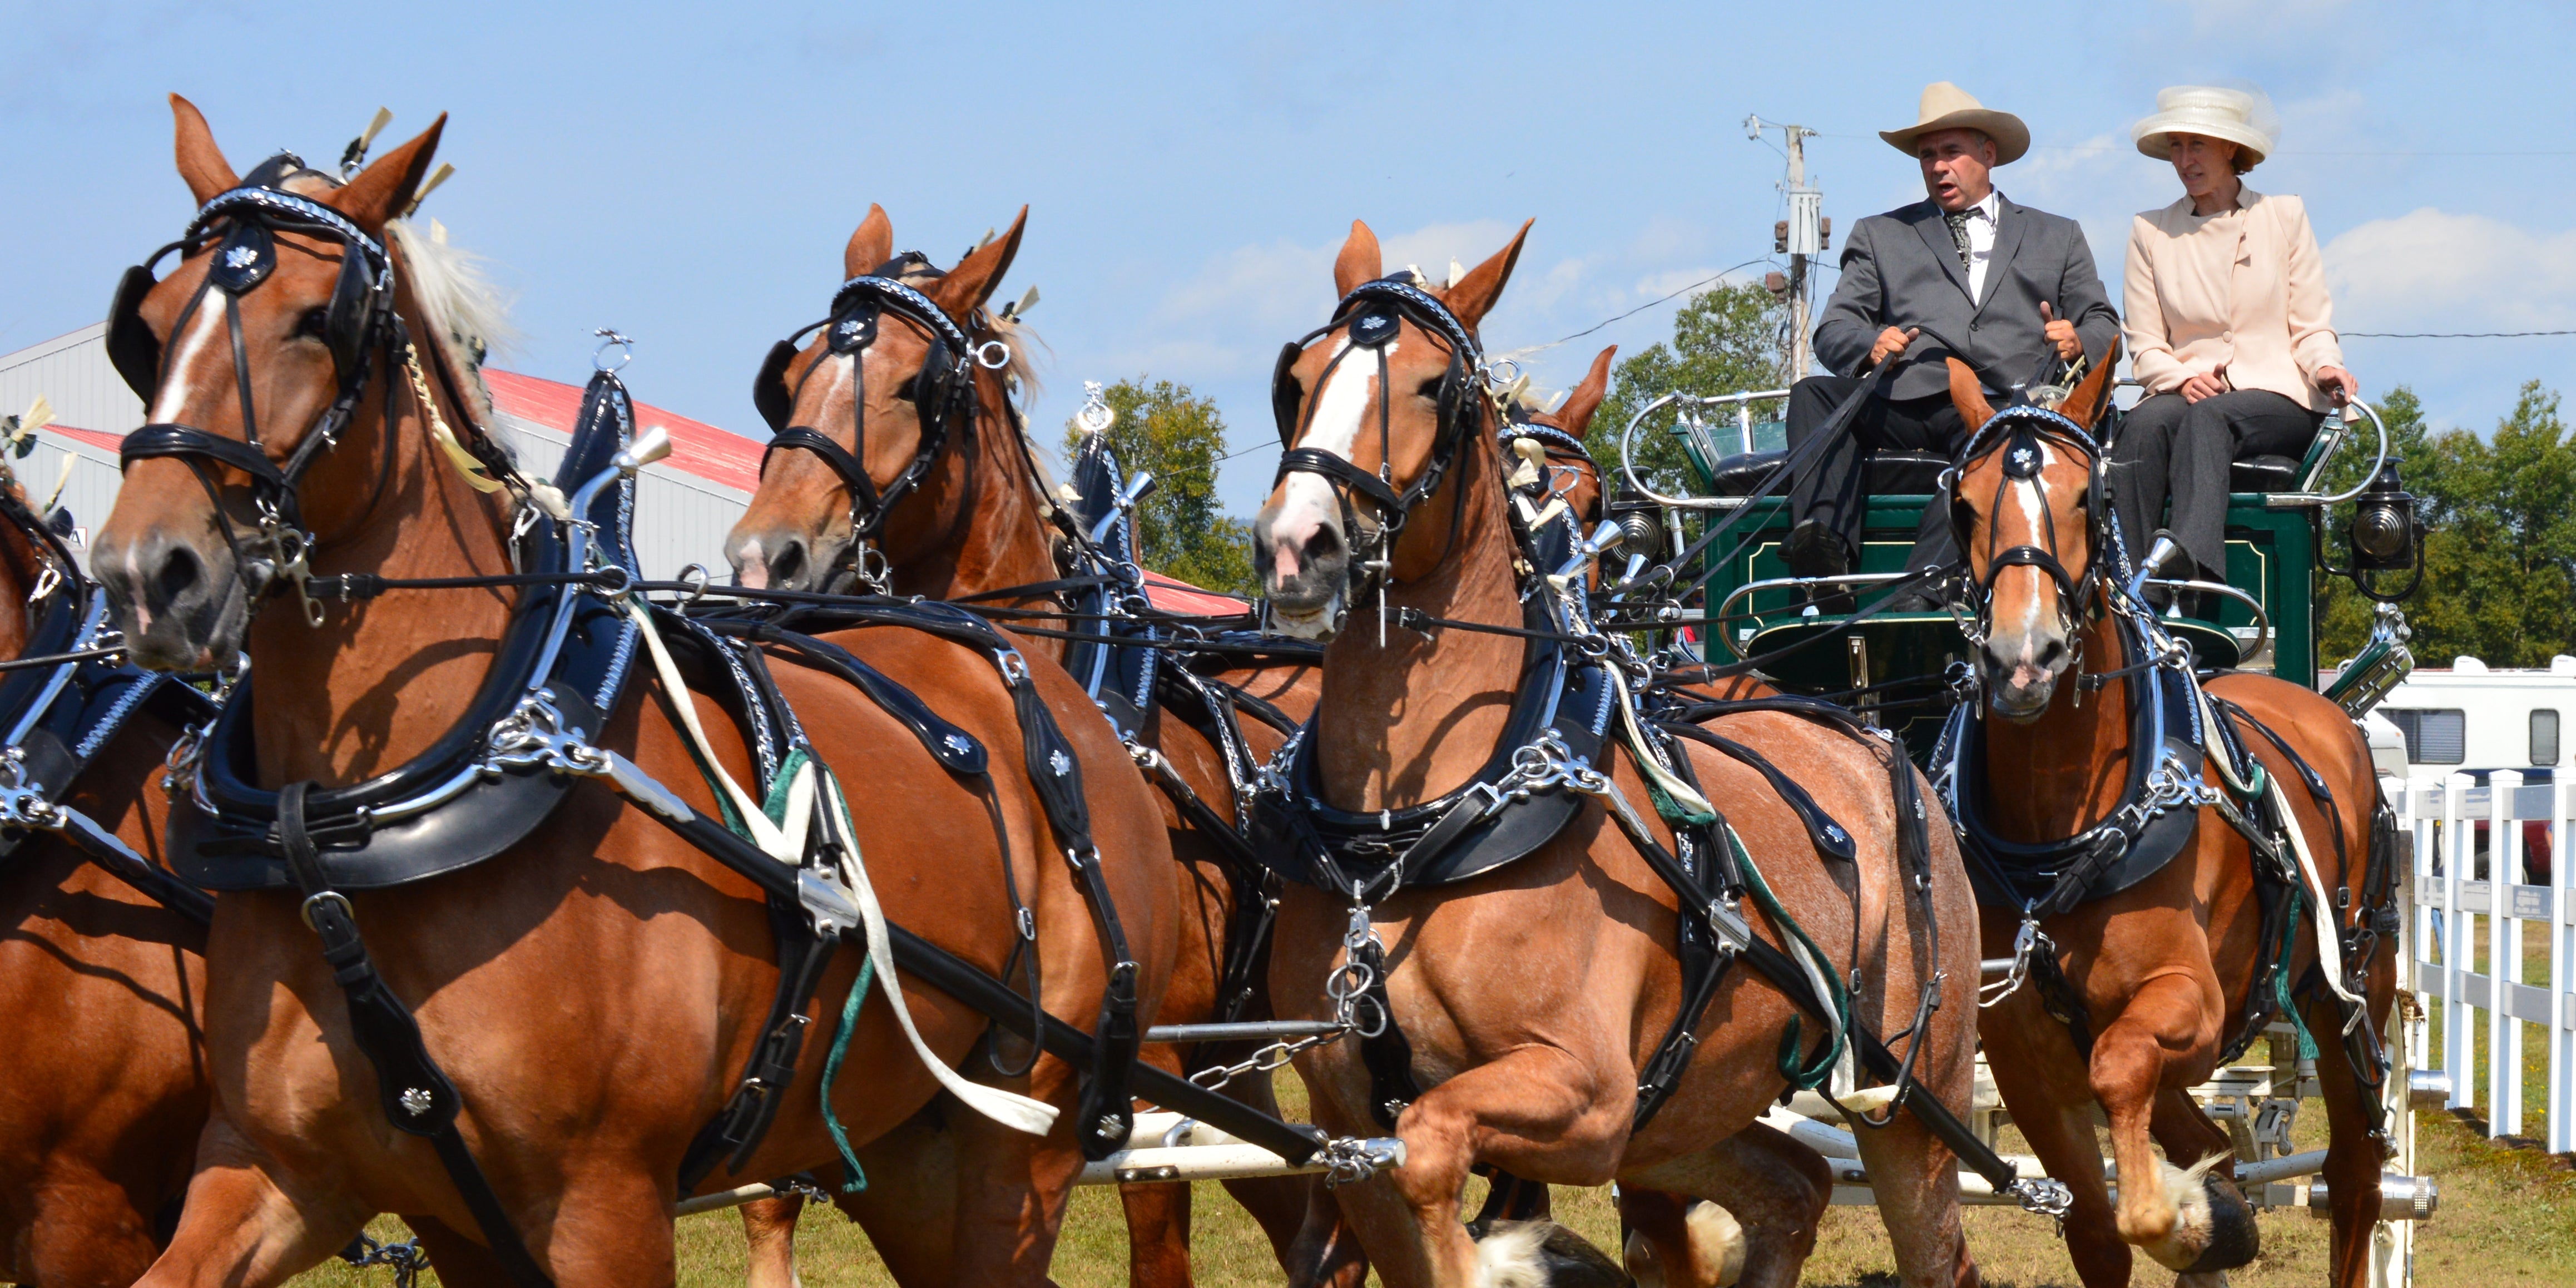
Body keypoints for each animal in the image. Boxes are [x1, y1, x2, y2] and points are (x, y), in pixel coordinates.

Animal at [86, 100, 1180, 1288]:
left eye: (311, 322)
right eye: (148, 325)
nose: (147, 572)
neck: (359, 830)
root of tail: (1056, 700)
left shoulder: (604, 1207)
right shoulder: (289, 1177)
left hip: (1019, 1150)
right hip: (905, 1154)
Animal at [1257, 219, 1978, 1288]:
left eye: (1432, 386)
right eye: (1299, 378)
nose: (1296, 544)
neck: (1404, 833)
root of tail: (1872, 736)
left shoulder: (1585, 1093)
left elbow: (1435, 1146)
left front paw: (1498, 1257)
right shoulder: (1353, 1131)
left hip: (1908, 1101)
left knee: (1929, 1243)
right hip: (1688, 1109)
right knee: (1794, 1185)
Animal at [1937, 360, 2401, 1288]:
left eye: (2090, 496)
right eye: (1964, 505)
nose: (2024, 659)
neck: (2063, 829)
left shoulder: (2194, 1003)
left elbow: (2124, 1076)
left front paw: (2188, 1223)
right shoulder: (2023, 1053)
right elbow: (2096, 1227)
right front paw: (2204, 1223)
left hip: (2352, 985)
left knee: (2355, 1174)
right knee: (2205, 1136)